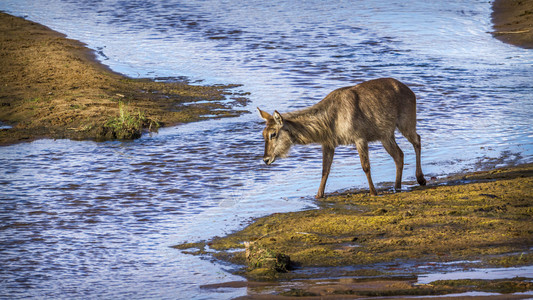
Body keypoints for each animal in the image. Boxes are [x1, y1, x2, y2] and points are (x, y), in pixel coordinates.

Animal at [256, 78, 426, 198]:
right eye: (263, 134)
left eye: (273, 133)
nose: (266, 159)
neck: (331, 120)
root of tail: (411, 91)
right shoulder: (328, 143)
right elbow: (325, 170)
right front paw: (318, 195)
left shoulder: (359, 137)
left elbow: (365, 166)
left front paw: (373, 192)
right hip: (385, 135)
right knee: (399, 155)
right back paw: (397, 186)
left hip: (405, 123)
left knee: (417, 140)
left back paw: (421, 179)